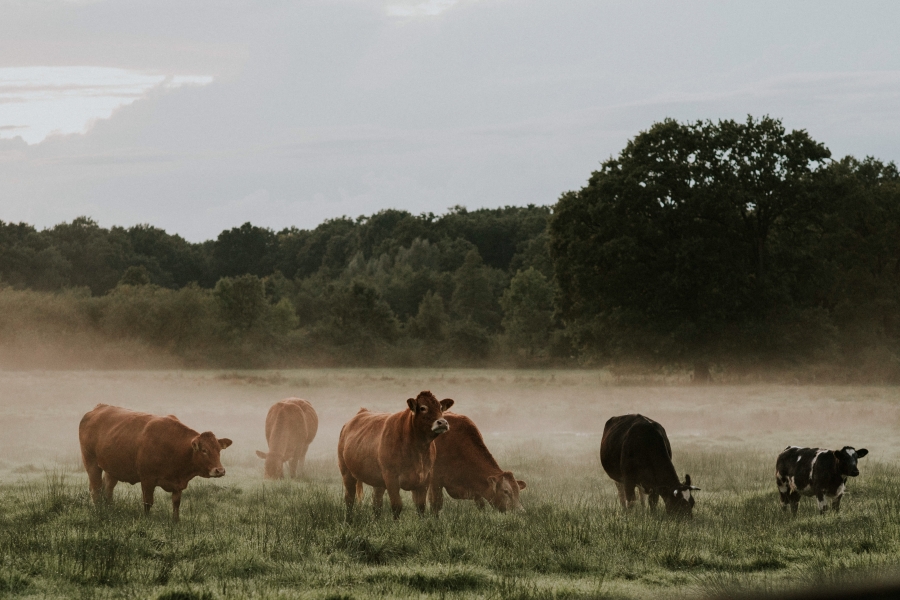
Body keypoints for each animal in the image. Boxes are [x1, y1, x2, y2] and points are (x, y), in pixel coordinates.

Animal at [78, 406, 232, 524]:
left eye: (219, 450)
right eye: (204, 450)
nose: (219, 470)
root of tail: (98, 408)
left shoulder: (178, 485)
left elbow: (176, 503)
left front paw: (176, 522)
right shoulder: (147, 480)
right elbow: (148, 502)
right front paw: (147, 520)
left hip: (112, 469)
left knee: (107, 489)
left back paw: (110, 509)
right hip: (91, 463)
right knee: (96, 489)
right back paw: (99, 511)